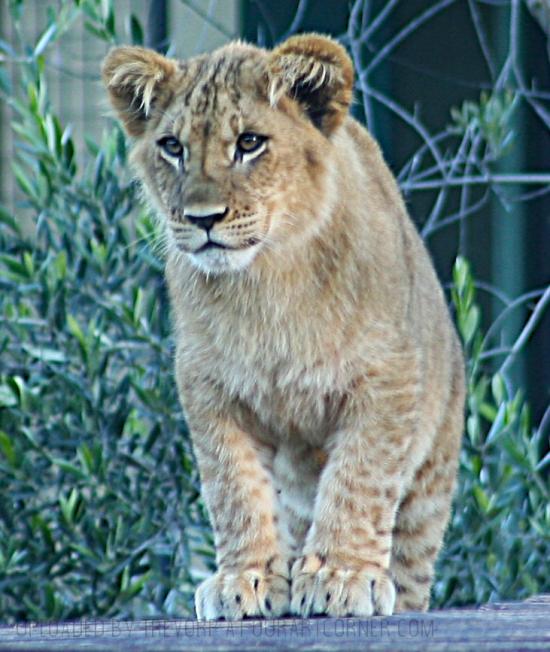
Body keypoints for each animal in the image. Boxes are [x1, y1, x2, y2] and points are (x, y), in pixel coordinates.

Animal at [102, 33, 465, 620]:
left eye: (250, 143)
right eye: (172, 147)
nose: (202, 219)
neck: (266, 283)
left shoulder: (386, 380)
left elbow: (359, 477)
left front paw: (342, 573)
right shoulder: (209, 388)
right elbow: (235, 488)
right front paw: (244, 578)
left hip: (430, 478)